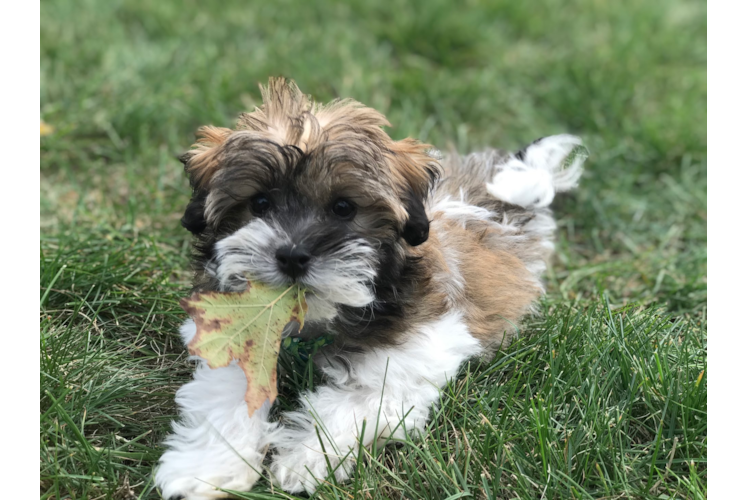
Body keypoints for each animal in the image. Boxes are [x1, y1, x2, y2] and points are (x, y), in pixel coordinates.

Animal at [155, 76, 588, 498]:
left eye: (344, 207)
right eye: (259, 203)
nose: (292, 255)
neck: (316, 322)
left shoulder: (414, 357)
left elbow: (352, 403)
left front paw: (303, 461)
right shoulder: (235, 339)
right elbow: (229, 395)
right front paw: (206, 472)